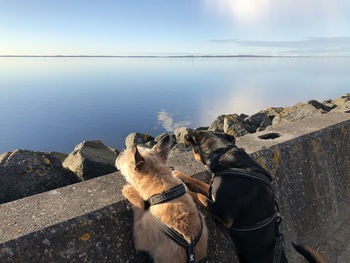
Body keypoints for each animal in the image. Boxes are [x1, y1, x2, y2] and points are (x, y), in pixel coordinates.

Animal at [174, 130, 326, 263]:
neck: (222, 152)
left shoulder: (222, 212)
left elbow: (197, 194)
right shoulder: (212, 192)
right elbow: (198, 183)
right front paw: (179, 175)